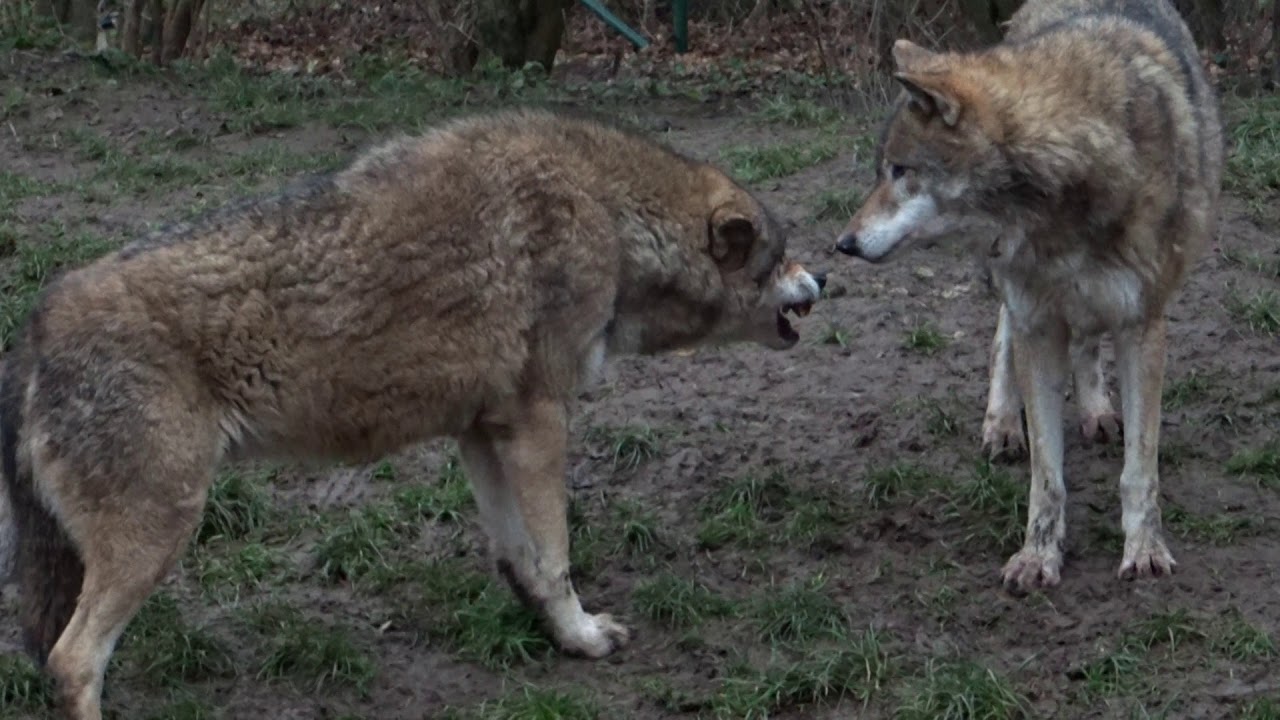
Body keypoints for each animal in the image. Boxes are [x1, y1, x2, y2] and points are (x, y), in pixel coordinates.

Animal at [0, 107, 825, 720]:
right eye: (781, 257)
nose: (824, 278)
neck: (610, 216)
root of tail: (36, 326)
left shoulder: (484, 431)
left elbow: (521, 558)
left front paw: (554, 636)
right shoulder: (542, 423)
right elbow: (557, 557)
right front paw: (585, 637)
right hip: (161, 533)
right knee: (72, 662)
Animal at [833, 0, 1224, 593]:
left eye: (901, 171)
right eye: (883, 171)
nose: (844, 244)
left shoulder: (1142, 328)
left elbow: (1140, 470)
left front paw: (1145, 551)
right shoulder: (1036, 325)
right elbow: (1047, 474)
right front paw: (1038, 556)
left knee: (1085, 343)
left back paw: (1096, 410)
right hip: (1016, 294)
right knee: (1002, 337)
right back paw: (1001, 425)